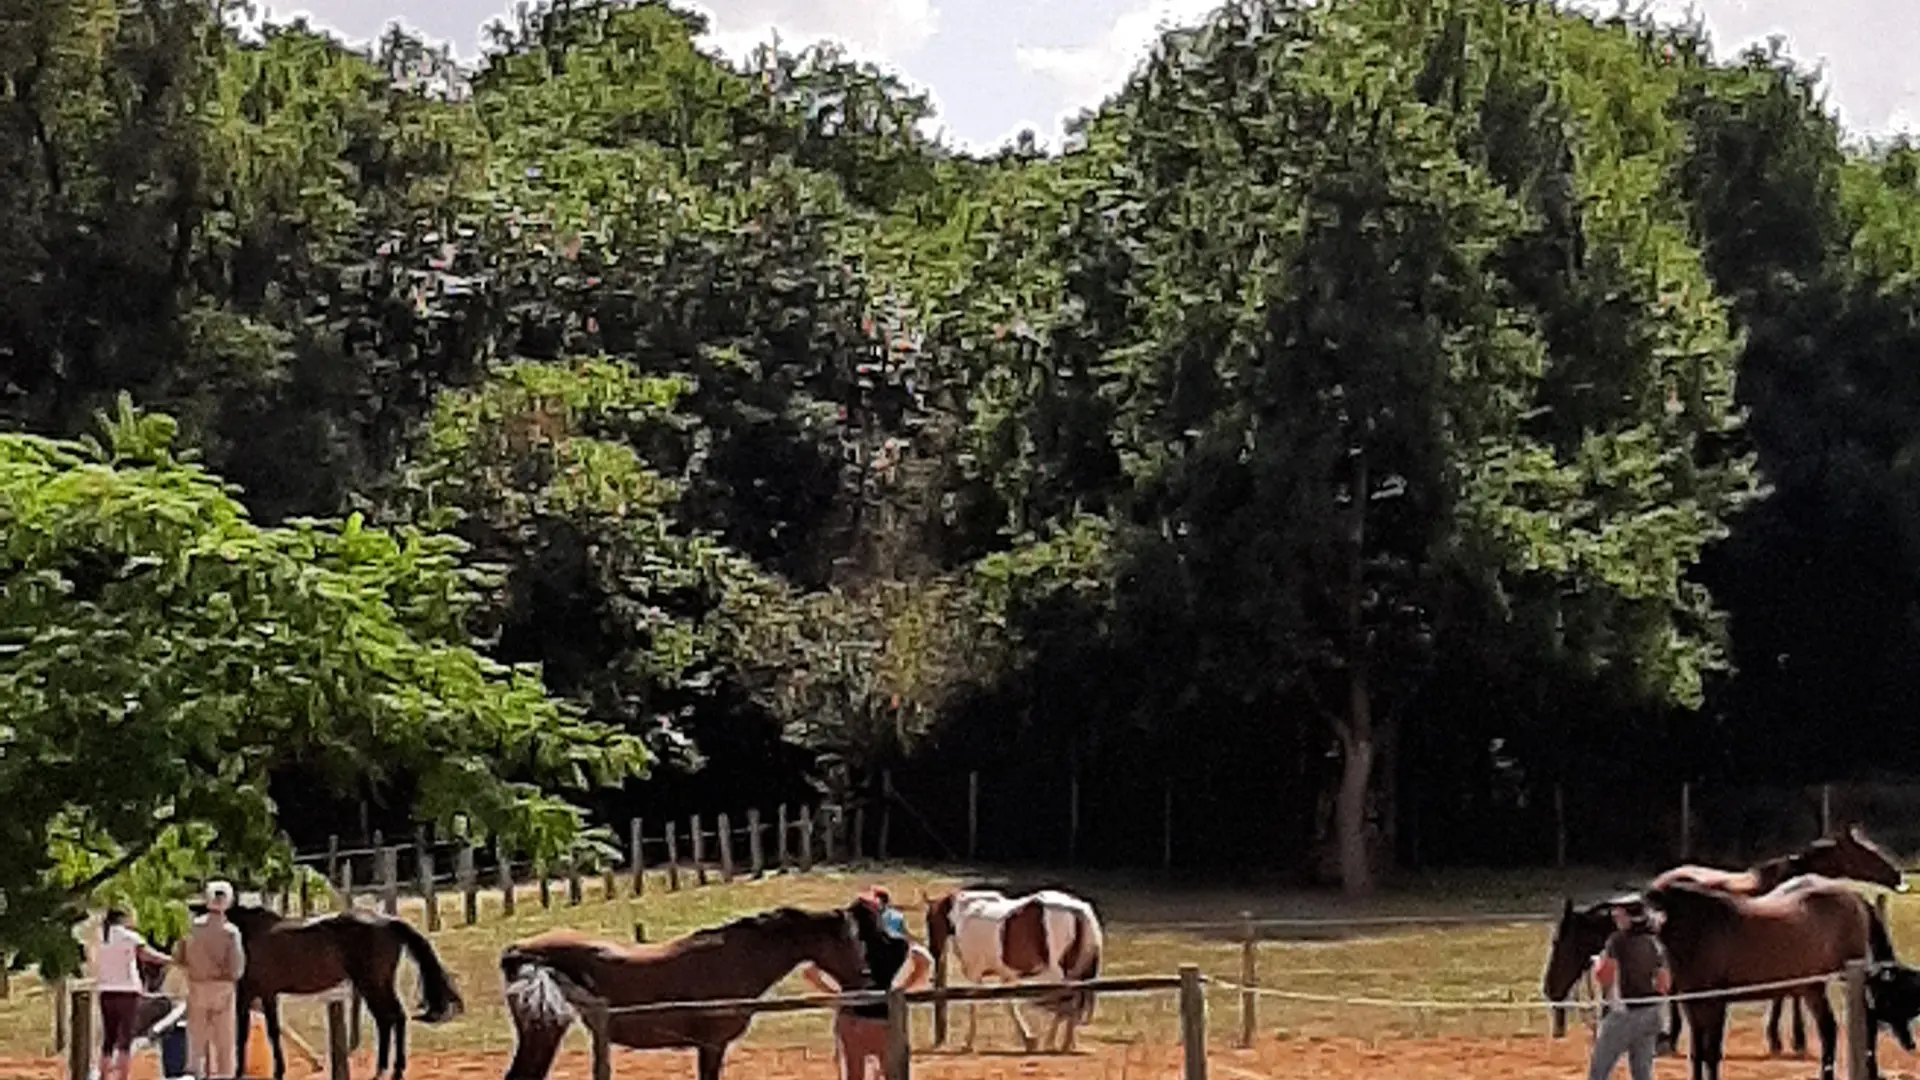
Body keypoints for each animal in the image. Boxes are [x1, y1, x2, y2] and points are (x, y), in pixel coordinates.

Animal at [214, 904, 463, 1080]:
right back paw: (387, 1070)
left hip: (372, 984)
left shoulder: (248, 993)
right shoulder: (267, 995)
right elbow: (273, 1032)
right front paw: (277, 1071)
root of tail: (388, 921)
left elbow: (244, 1033)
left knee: (391, 1018)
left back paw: (391, 1071)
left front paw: (240, 1072)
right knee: (391, 1019)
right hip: (376, 985)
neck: (246, 932)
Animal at [922, 886, 1104, 1053]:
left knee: (1066, 1001)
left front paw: (968, 1043)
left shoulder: (975, 974)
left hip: (1057, 973)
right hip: (1073, 973)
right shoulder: (1007, 976)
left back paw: (1054, 1041)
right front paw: (1029, 1040)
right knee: (1073, 1001)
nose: (933, 952)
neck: (965, 913)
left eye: (929, 921)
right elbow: (1009, 1004)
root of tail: (1076, 909)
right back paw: (1066, 1043)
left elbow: (974, 1005)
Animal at [1652, 824, 1907, 1056]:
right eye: (1867, 852)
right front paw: (1786, 1039)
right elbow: (1784, 997)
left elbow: (1785, 994)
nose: (1897, 875)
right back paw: (1671, 1038)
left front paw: (1788, 1038)